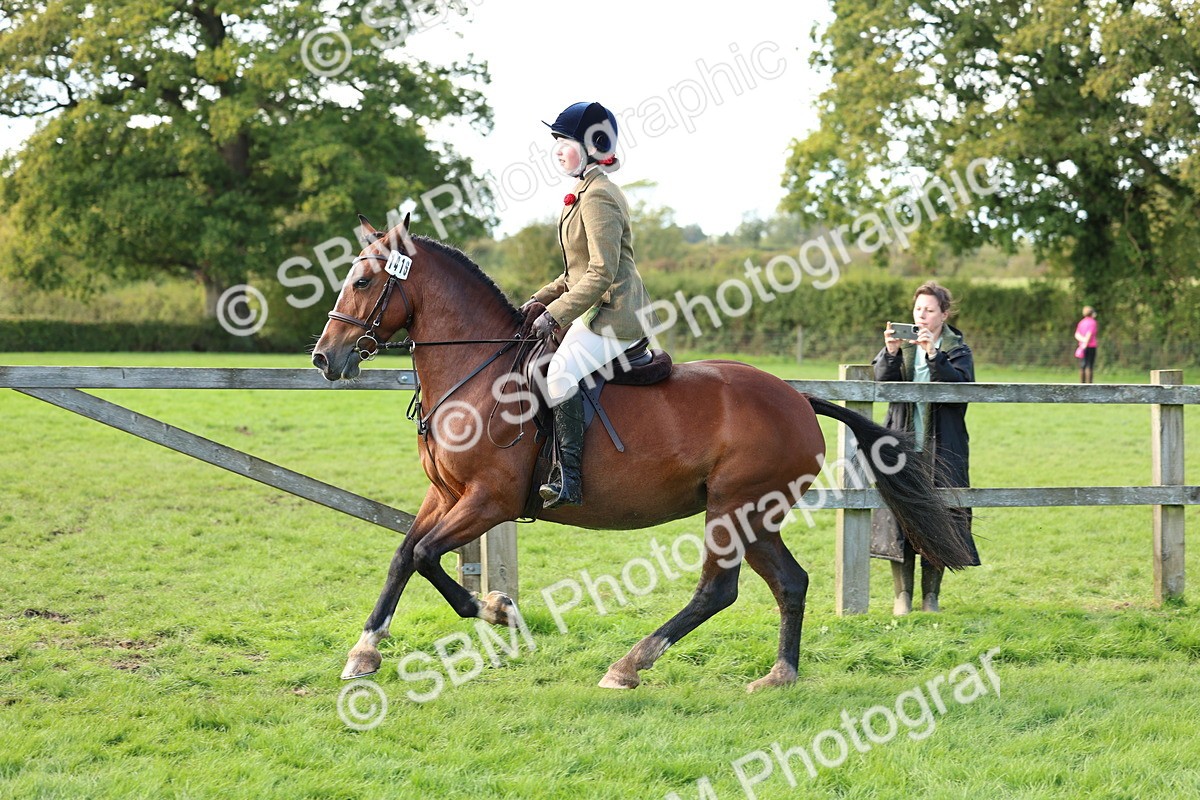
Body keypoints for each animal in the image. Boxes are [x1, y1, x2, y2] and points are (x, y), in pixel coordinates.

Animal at [311, 215, 974, 692]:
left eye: (363, 282)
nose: (323, 358)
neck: (479, 371)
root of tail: (797, 398)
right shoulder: (445, 494)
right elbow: (404, 556)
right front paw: (367, 650)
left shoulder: (489, 501)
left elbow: (425, 556)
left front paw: (497, 610)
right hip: (755, 516)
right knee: (789, 582)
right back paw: (780, 675)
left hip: (734, 509)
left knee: (719, 590)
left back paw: (629, 665)